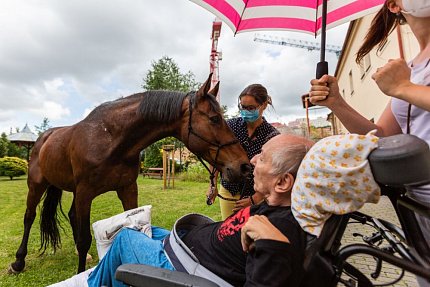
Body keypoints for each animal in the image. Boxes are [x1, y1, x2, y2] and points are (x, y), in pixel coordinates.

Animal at [9, 74, 252, 274]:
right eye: (214, 119)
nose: (244, 166)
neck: (111, 140)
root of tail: (44, 139)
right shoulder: (85, 193)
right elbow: (84, 238)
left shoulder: (127, 189)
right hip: (37, 185)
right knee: (29, 217)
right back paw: (18, 262)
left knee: (70, 215)